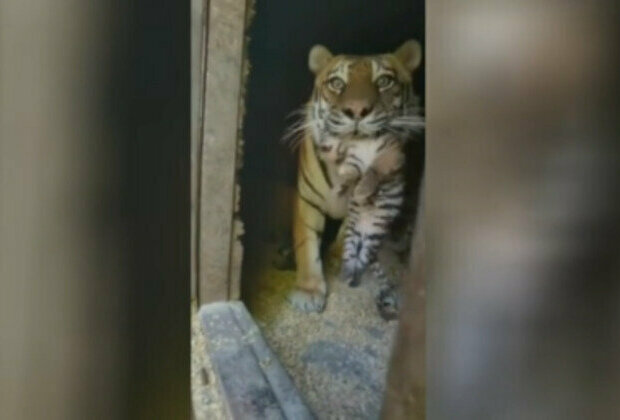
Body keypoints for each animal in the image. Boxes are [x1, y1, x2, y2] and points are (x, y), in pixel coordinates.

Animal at [286, 41, 424, 314]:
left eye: (384, 81)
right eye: (337, 83)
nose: (357, 110)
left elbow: (347, 233)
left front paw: (336, 257)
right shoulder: (308, 200)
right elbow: (306, 244)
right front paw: (308, 291)